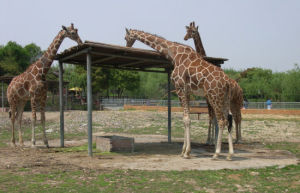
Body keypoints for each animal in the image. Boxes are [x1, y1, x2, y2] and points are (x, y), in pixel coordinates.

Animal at [125, 27, 233, 159]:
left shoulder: (179, 88)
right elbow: (185, 119)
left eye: (126, 37)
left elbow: (186, 119)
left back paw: (216, 153)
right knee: (227, 120)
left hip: (214, 96)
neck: (174, 54)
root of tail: (227, 82)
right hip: (225, 98)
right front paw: (184, 151)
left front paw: (186, 152)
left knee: (221, 121)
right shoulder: (187, 91)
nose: (127, 46)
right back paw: (230, 154)